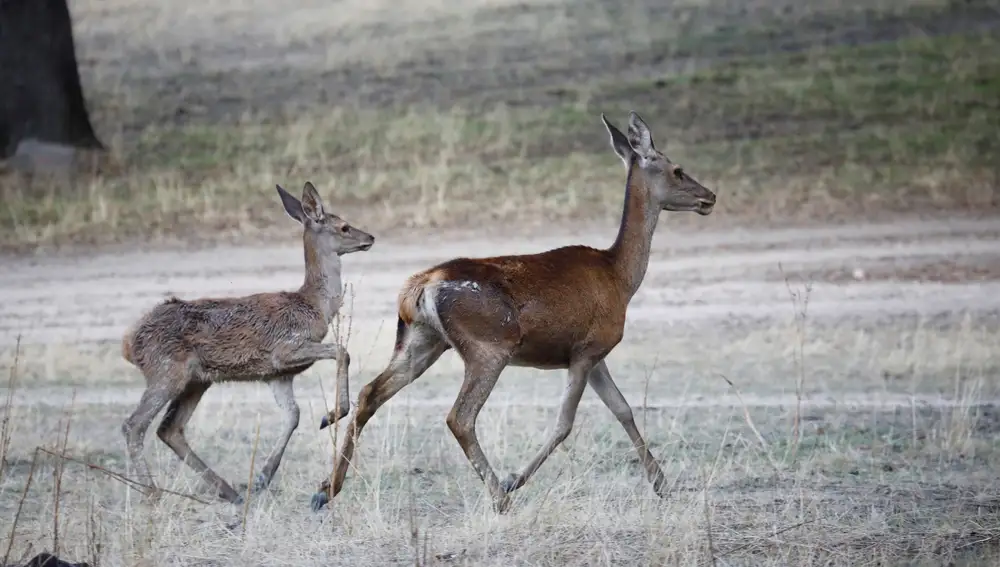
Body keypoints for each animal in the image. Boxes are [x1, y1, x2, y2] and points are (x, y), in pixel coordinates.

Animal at [121, 182, 372, 506]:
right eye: (343, 226)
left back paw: (230, 491)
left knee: (170, 429)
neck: (314, 307)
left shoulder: (278, 375)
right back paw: (153, 493)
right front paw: (331, 415)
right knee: (134, 425)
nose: (370, 237)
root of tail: (129, 343)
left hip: (197, 380)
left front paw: (264, 476)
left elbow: (293, 415)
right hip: (165, 371)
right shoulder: (285, 349)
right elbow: (342, 351)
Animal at [312, 112, 720, 516]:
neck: (619, 276)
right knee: (459, 416)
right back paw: (500, 496)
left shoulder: (594, 353)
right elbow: (565, 423)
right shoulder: (586, 348)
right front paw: (514, 479)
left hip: (421, 341)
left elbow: (622, 409)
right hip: (489, 345)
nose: (710, 196)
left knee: (371, 392)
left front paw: (661, 483)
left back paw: (325, 490)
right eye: (678, 170)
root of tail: (420, 287)